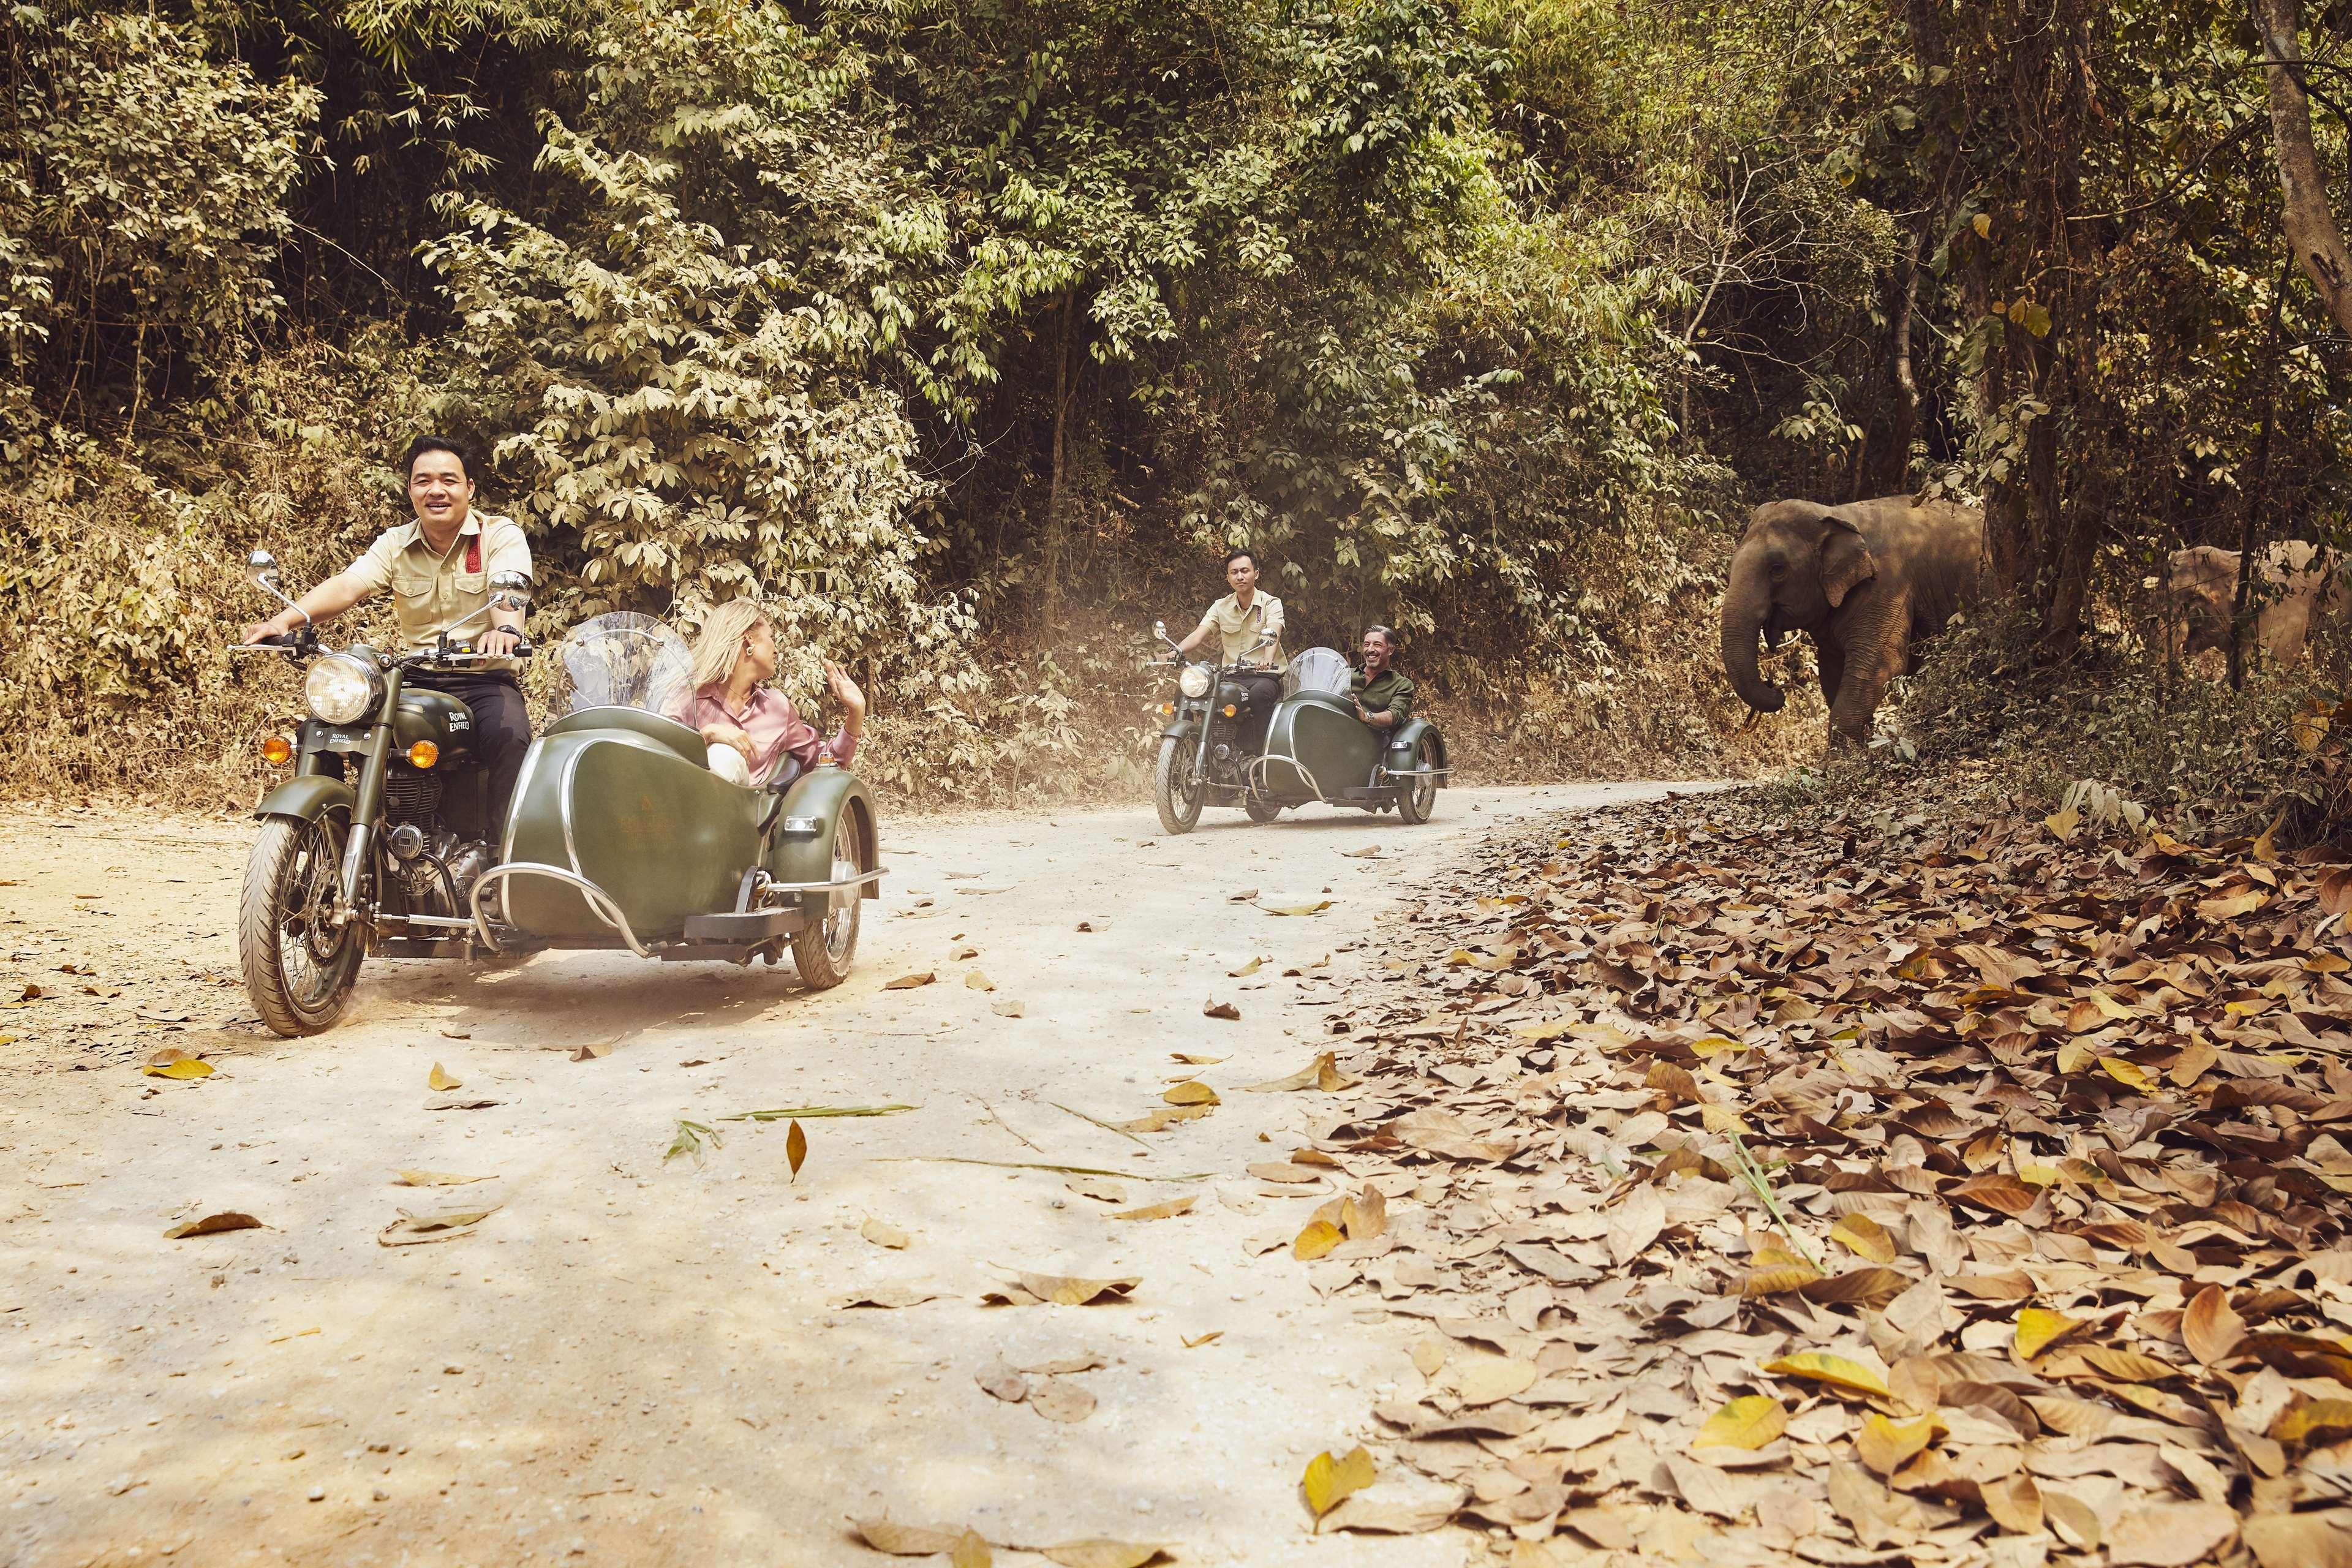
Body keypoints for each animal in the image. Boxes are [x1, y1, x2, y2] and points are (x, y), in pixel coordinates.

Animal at [1721, 500, 1975, 752]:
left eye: (1777, 568)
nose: (1775, 686)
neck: (1835, 513)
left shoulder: (1886, 587)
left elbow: (1881, 663)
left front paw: (1838, 761)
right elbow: (1831, 670)